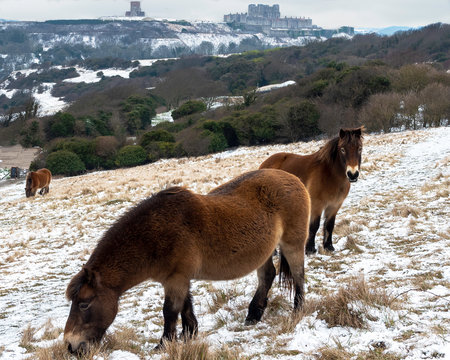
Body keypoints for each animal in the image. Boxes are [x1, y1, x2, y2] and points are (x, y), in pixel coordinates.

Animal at [63, 169, 312, 354]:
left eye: (84, 304)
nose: (71, 346)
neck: (154, 233)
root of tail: (293, 178)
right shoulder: (177, 279)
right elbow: (185, 306)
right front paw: (190, 334)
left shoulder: (176, 278)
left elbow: (170, 311)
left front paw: (164, 344)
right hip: (264, 252)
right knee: (267, 276)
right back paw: (253, 315)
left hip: (292, 244)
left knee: (298, 275)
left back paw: (297, 310)